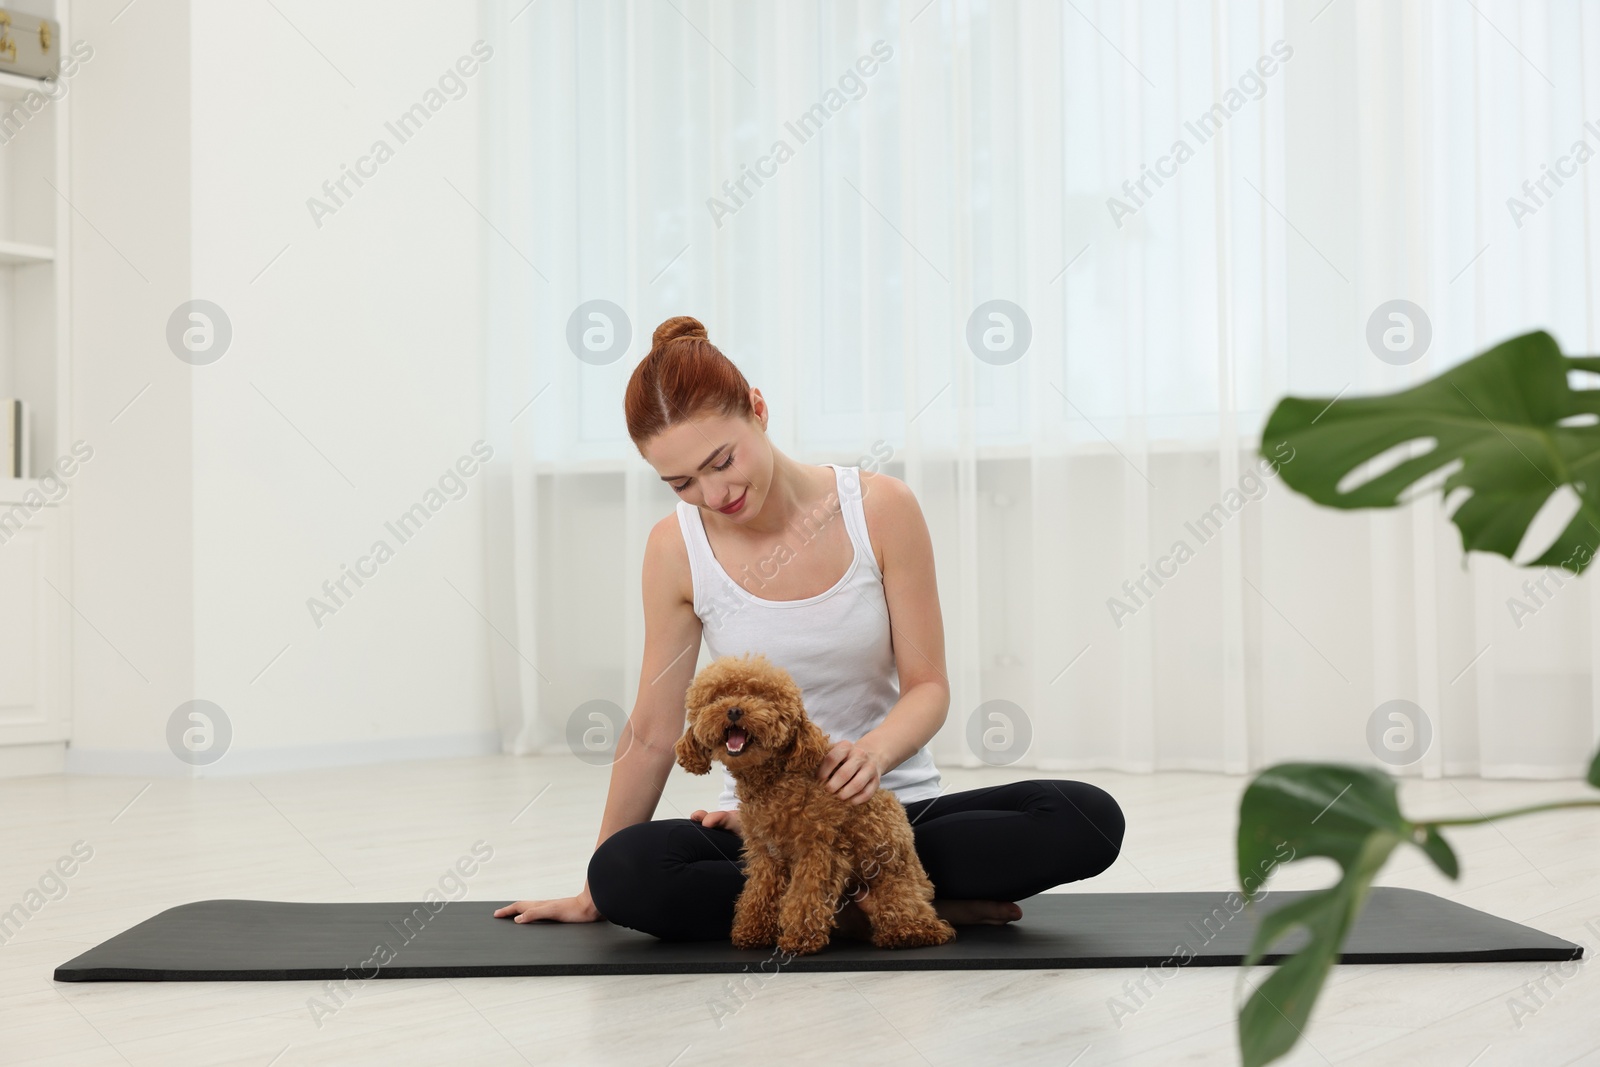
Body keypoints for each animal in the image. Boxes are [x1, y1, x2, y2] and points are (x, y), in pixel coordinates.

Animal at [672, 652, 953, 959]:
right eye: (716, 697)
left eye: (762, 697)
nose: (734, 710)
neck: (774, 781)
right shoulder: (766, 854)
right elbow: (759, 892)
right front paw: (752, 931)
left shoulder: (818, 849)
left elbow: (805, 895)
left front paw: (799, 938)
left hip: (893, 877)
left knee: (913, 913)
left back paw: (909, 932)